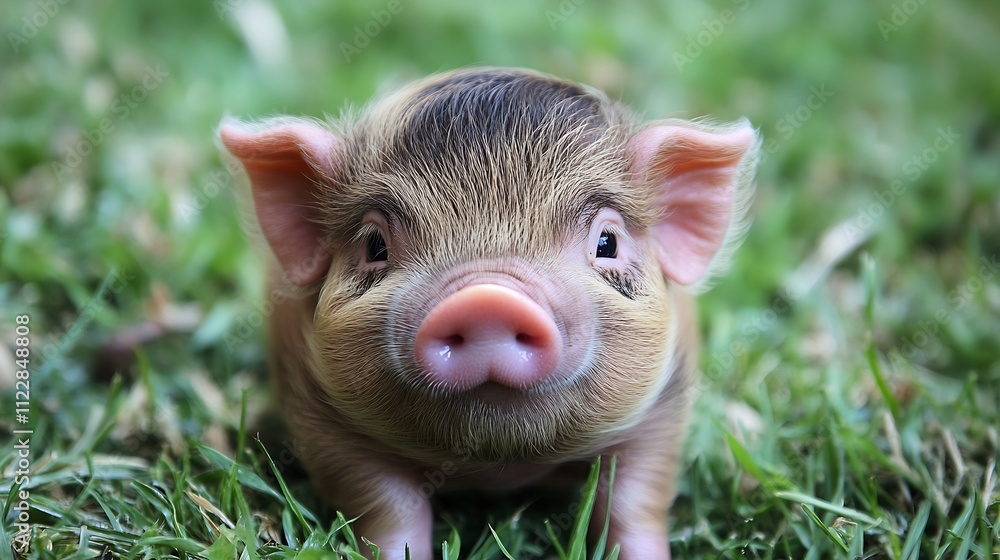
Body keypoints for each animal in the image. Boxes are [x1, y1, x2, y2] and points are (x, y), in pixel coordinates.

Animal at [219, 67, 759, 559]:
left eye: (607, 242)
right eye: (374, 245)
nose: (487, 301)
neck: (499, 465)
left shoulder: (661, 416)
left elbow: (635, 503)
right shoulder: (323, 420)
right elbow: (385, 508)